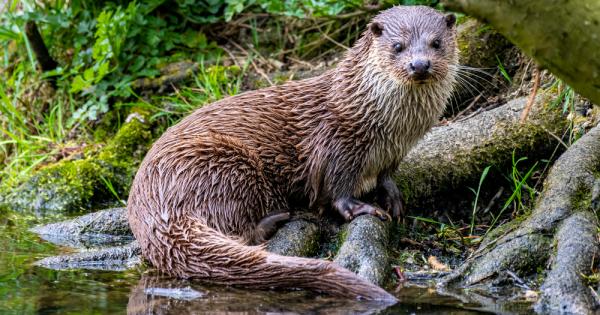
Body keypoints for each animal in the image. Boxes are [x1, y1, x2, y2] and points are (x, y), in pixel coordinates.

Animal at [129, 4, 460, 302]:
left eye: (436, 43)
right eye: (397, 46)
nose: (419, 64)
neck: (386, 128)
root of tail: (153, 205)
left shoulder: (394, 153)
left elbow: (387, 177)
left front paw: (393, 198)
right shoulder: (337, 142)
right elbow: (337, 189)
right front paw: (361, 208)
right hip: (225, 164)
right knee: (239, 231)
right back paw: (276, 219)